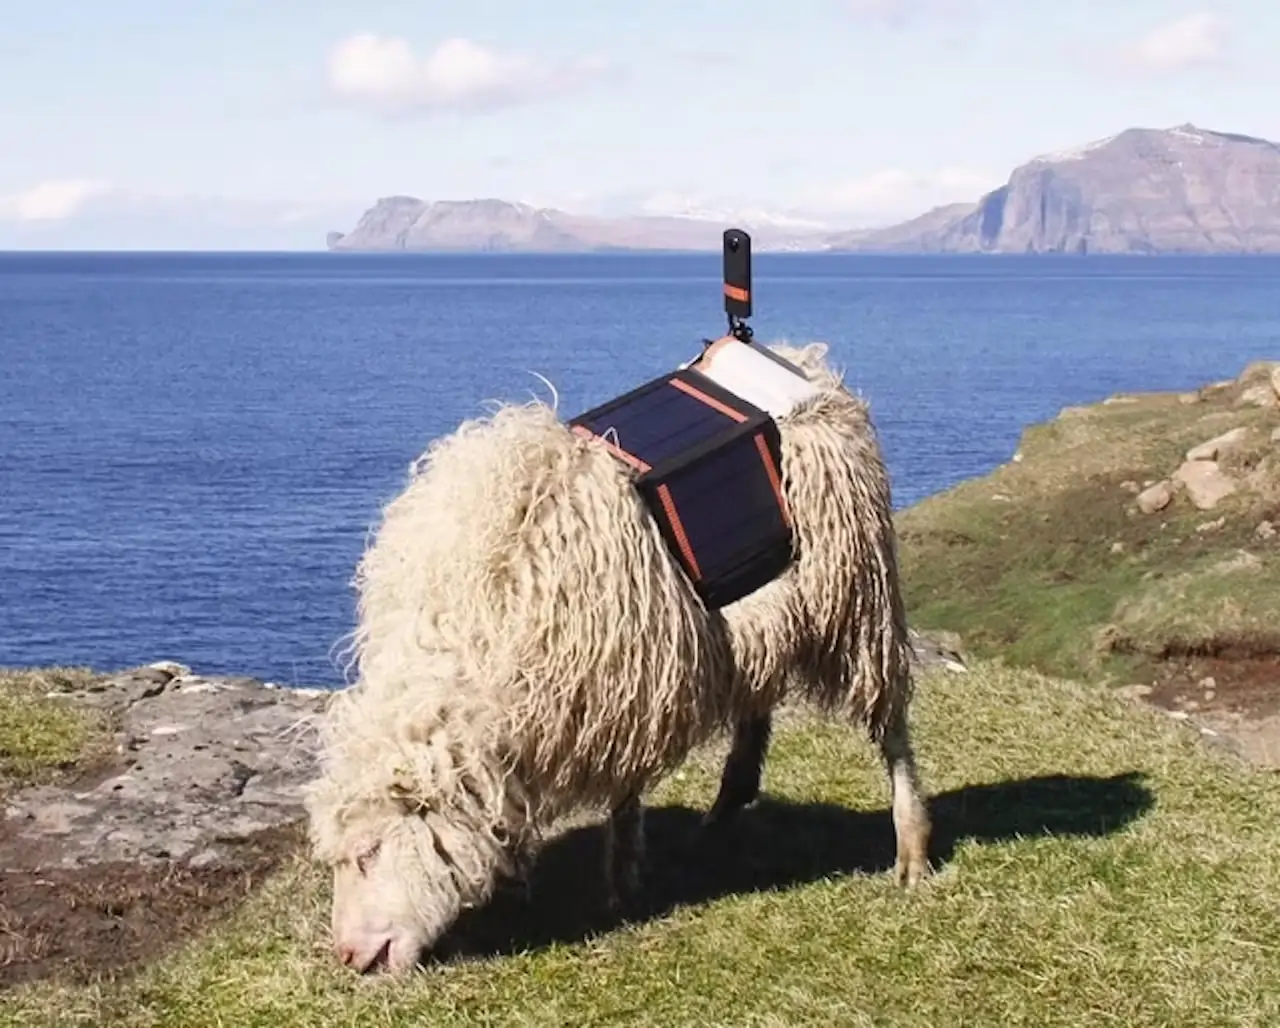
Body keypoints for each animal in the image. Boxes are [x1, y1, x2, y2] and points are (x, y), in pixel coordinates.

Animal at [302, 340, 930, 975]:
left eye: (368, 852)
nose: (348, 955)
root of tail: (796, 356)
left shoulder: (625, 679)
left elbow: (625, 789)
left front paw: (621, 879)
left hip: (858, 590)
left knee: (891, 723)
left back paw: (912, 846)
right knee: (757, 701)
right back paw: (728, 805)